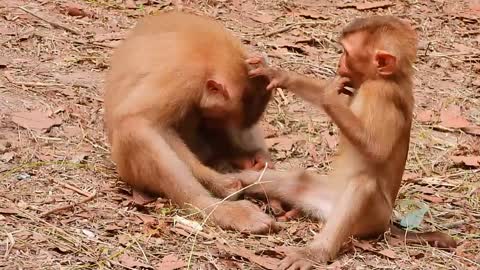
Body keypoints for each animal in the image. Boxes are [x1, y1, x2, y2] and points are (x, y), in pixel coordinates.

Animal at [104, 11, 278, 233]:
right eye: (213, 119)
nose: (215, 135)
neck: (213, 57)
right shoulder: (184, 78)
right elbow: (138, 120)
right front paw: (216, 182)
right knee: (135, 129)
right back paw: (214, 205)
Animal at [236, 15, 458, 268]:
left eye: (346, 53)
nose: (339, 63)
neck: (388, 78)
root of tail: (387, 225)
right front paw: (277, 74)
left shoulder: (380, 94)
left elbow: (377, 149)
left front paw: (328, 96)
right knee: (297, 181)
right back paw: (236, 181)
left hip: (373, 217)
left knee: (361, 186)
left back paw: (316, 252)